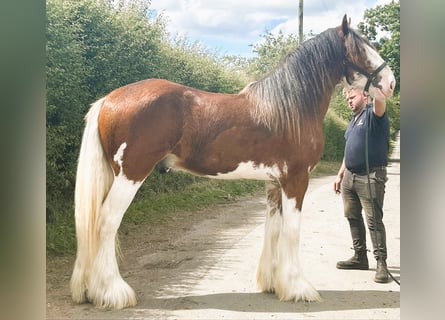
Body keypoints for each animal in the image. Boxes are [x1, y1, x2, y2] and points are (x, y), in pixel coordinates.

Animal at [70, 15, 396, 310]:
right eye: (361, 50)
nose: (391, 83)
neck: (290, 109)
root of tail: (109, 99)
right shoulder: (296, 180)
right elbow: (291, 231)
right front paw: (298, 288)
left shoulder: (274, 182)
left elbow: (273, 228)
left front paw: (272, 283)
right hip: (131, 175)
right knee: (106, 223)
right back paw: (113, 292)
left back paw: (89, 290)